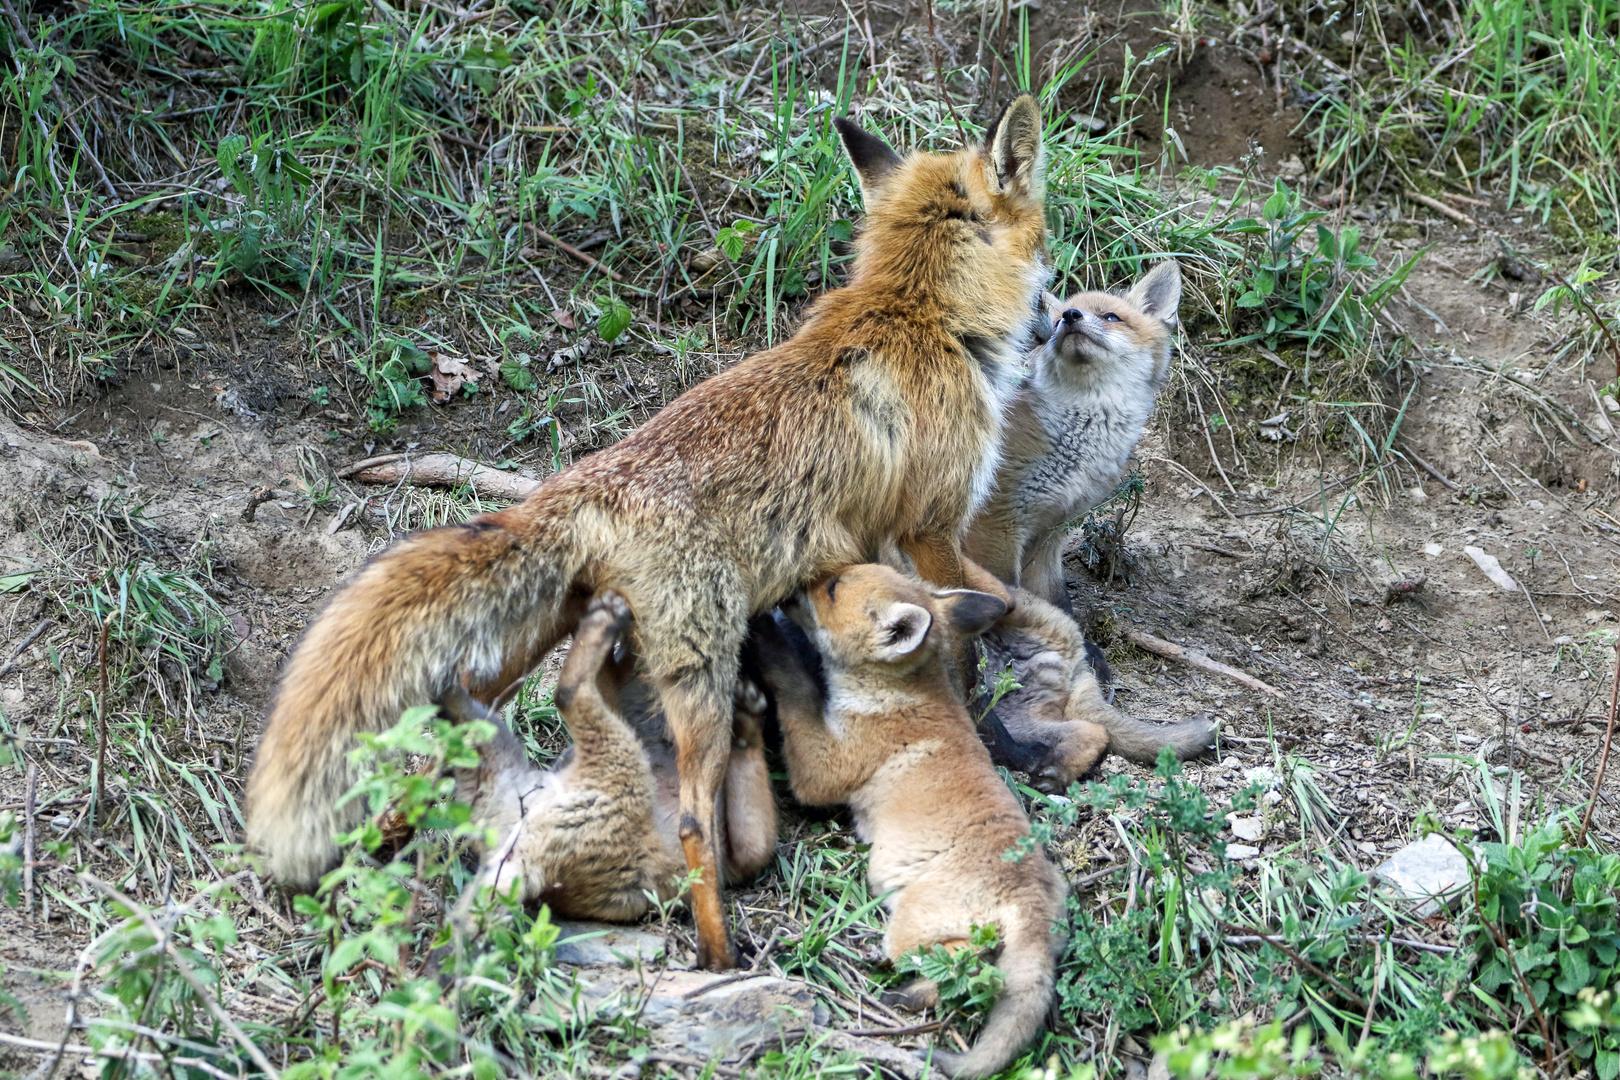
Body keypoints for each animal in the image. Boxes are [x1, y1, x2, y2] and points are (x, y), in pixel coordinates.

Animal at [236, 95, 1049, 971]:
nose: (1052, 320)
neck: (922, 312)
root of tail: (585, 484)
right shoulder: (932, 525)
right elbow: (967, 641)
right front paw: (992, 741)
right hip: (701, 679)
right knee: (692, 819)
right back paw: (719, 950)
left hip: (534, 646)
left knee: (441, 736)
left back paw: (393, 835)